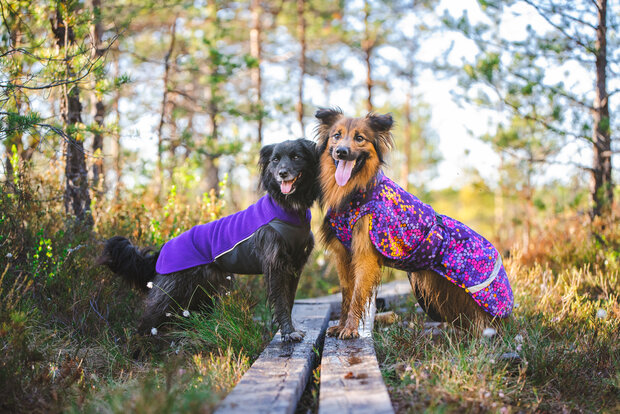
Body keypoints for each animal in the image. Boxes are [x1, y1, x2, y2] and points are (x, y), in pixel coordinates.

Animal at [98, 137, 320, 342]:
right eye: (275, 159)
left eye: (296, 157)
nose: (282, 173)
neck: (288, 208)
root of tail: (161, 250)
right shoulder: (276, 265)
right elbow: (281, 301)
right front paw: (288, 333)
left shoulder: (295, 265)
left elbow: (289, 299)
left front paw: (290, 329)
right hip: (171, 290)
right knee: (148, 319)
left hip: (201, 292)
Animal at [314, 108, 512, 338]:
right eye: (336, 136)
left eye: (359, 138)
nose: (341, 152)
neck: (355, 192)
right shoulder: (343, 255)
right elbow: (346, 294)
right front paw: (341, 326)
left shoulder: (364, 257)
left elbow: (357, 295)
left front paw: (351, 329)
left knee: (486, 322)